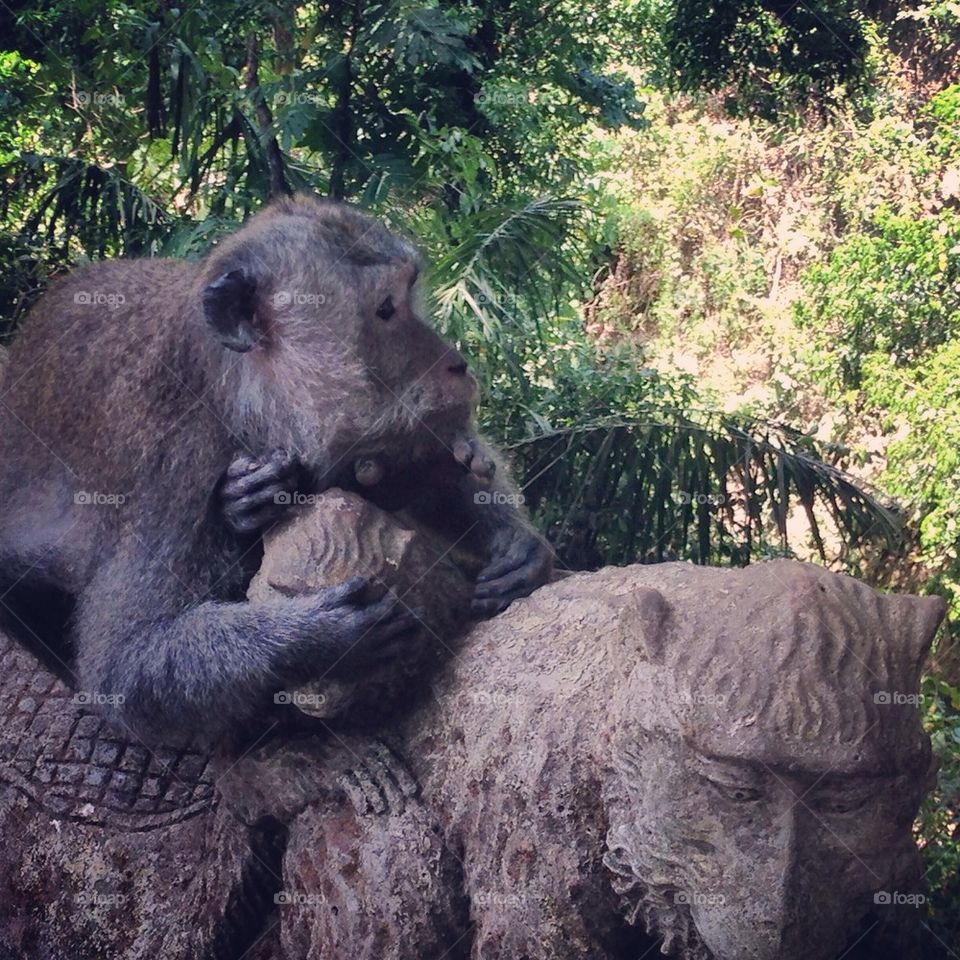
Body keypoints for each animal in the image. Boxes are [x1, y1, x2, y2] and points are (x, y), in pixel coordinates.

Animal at [0, 194, 553, 747]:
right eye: (385, 309)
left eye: (407, 296)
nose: (456, 363)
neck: (238, 399)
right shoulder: (174, 469)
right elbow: (124, 668)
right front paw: (320, 636)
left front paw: (514, 540)